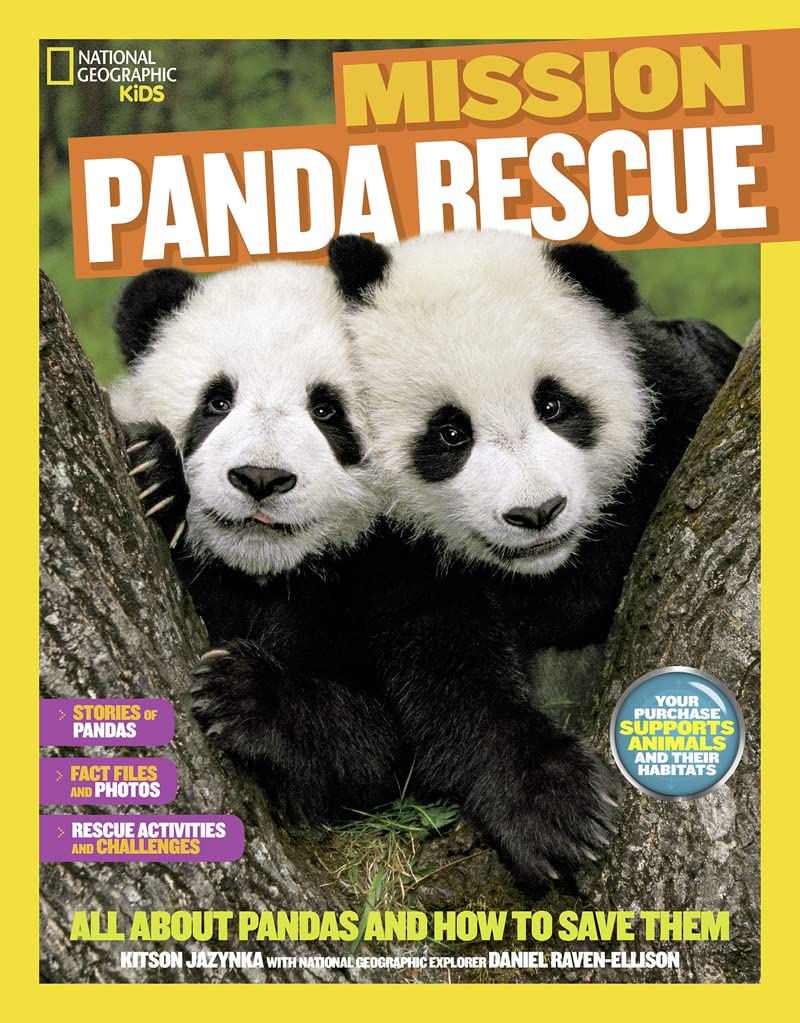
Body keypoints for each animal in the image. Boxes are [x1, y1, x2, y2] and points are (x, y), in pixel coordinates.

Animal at [110, 261, 399, 824]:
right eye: (217, 402)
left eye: (327, 411)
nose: (260, 477)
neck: (261, 571)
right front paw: (154, 471)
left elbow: (383, 747)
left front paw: (244, 694)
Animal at [327, 229, 740, 888]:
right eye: (450, 432)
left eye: (554, 405)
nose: (536, 513)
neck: (540, 569)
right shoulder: (388, 547)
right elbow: (442, 663)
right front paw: (552, 810)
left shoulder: (672, 409)